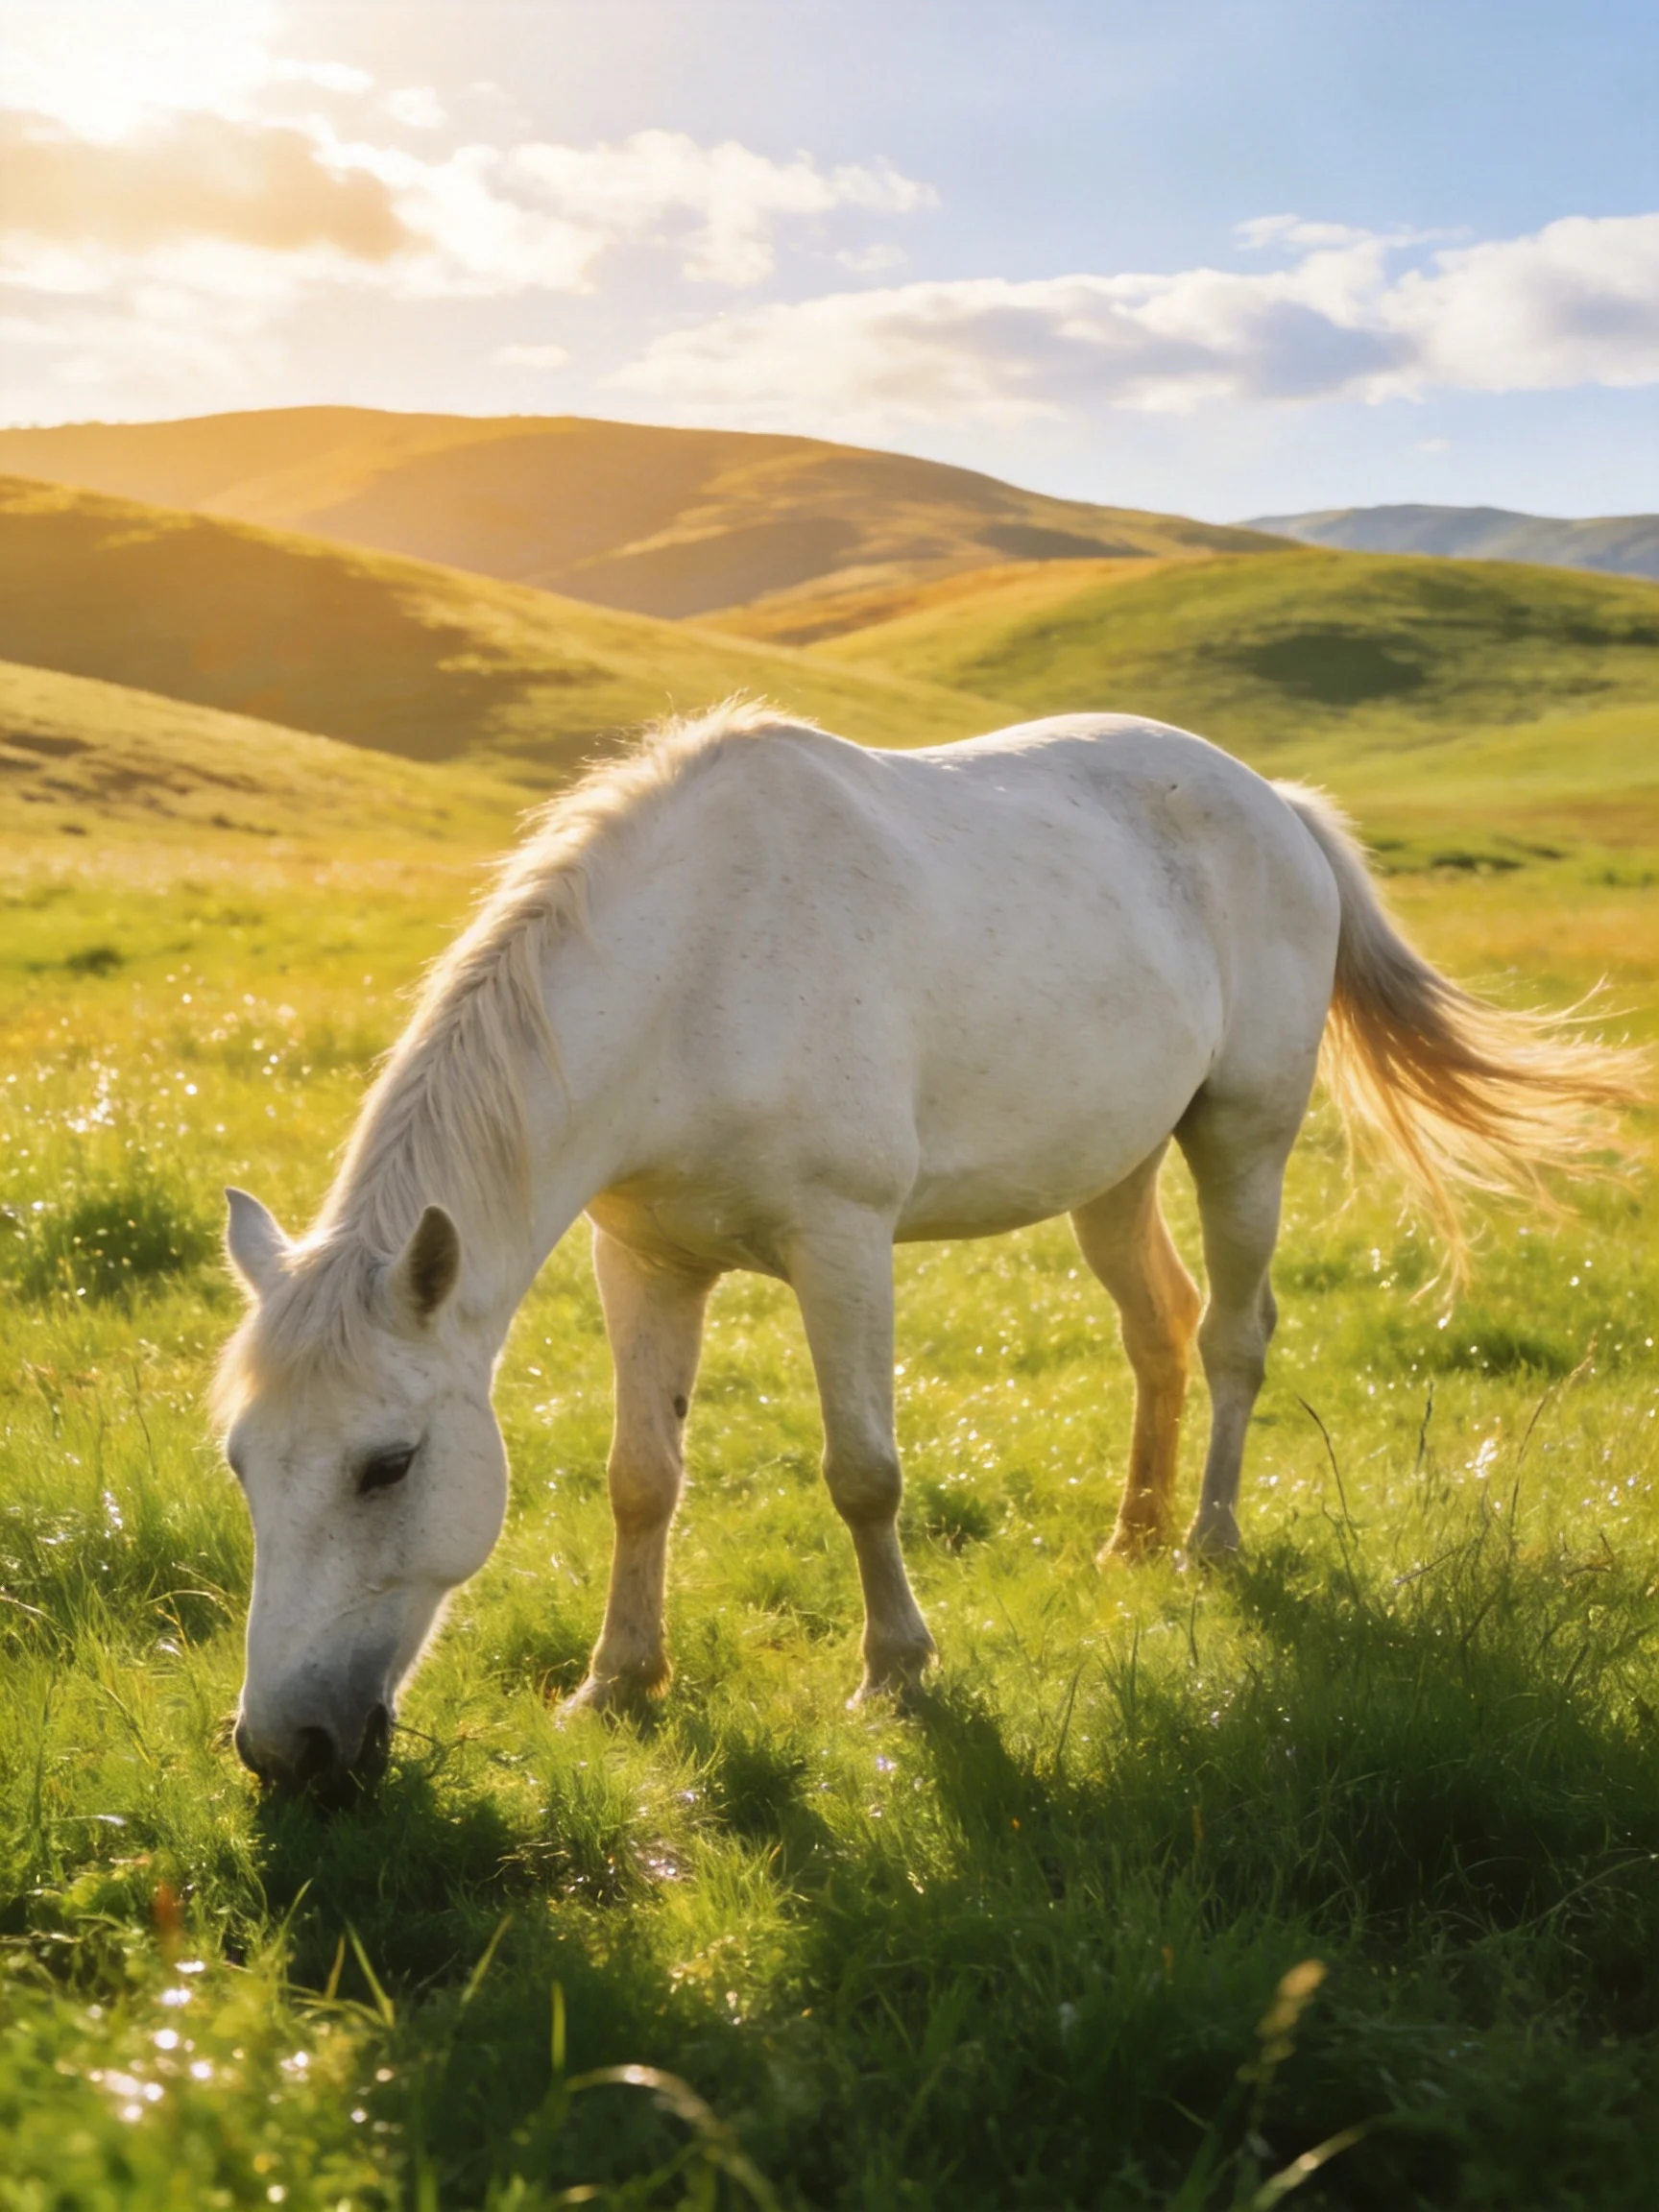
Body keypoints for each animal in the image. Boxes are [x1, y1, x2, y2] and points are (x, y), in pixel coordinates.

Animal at [212, 701, 1636, 1794]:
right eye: (241, 1463)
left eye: (388, 1467)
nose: (283, 1751)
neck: (695, 972)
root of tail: (1273, 803)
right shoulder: (646, 1260)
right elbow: (640, 1477)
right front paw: (618, 1683)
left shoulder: (842, 1243)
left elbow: (863, 1473)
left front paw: (895, 1673)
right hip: (1113, 1168)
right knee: (1160, 1327)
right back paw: (1130, 1537)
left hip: (1245, 1138)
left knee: (1236, 1334)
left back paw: (1207, 1545)